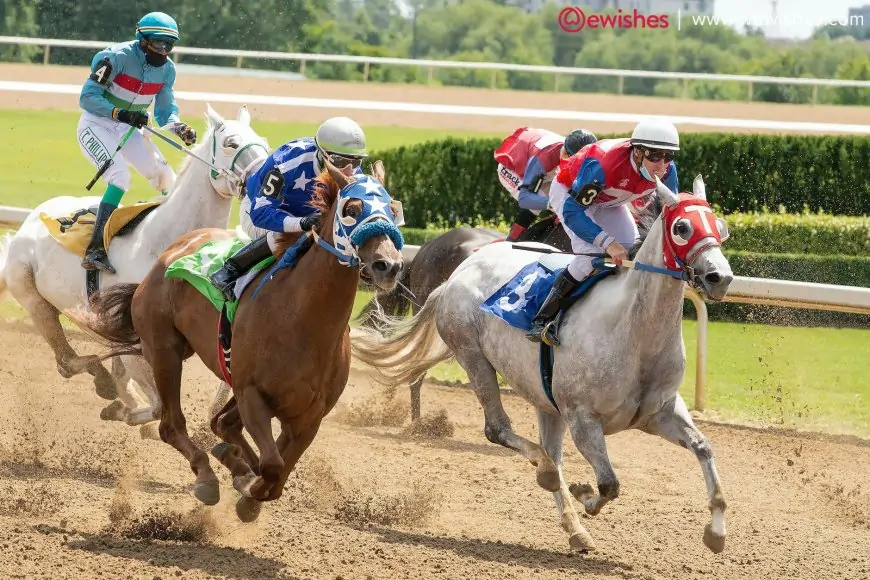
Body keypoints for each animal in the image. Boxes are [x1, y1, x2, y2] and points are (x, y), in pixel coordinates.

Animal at [0, 104, 270, 429]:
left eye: (263, 141)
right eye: (231, 143)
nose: (269, 178)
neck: (168, 242)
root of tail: (31, 219)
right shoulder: (139, 344)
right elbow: (157, 406)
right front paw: (128, 414)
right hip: (33, 296)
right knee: (67, 361)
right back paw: (101, 381)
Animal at [65, 158, 405, 522]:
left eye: (392, 209)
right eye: (351, 208)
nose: (389, 265)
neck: (305, 322)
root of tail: (172, 251)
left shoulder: (309, 416)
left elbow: (278, 472)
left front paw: (246, 483)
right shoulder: (251, 394)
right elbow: (272, 466)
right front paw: (245, 486)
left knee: (222, 424)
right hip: (165, 351)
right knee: (172, 425)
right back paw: (207, 476)